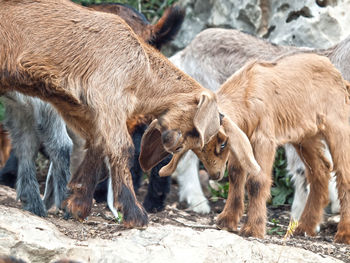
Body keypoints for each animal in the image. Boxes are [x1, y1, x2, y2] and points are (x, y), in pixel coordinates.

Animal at [0, 0, 221, 229]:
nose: (216, 172)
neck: (141, 66)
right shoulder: (107, 97)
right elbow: (121, 148)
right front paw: (134, 213)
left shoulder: (82, 107)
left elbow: (97, 144)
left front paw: (77, 204)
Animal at [193, 53, 350, 245]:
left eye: (221, 144)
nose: (215, 175)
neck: (246, 90)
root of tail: (339, 76)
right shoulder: (242, 139)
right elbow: (236, 175)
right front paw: (227, 220)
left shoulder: (263, 139)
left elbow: (256, 181)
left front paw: (253, 229)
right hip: (306, 135)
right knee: (320, 171)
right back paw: (305, 227)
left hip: (337, 126)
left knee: (344, 175)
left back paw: (344, 233)